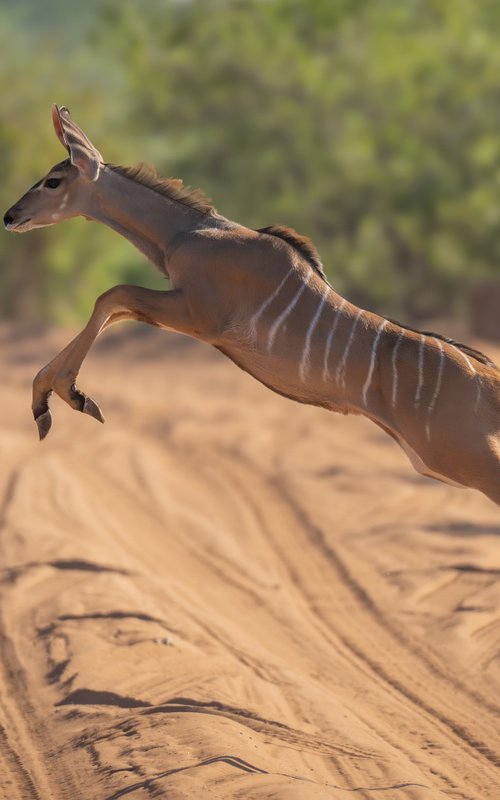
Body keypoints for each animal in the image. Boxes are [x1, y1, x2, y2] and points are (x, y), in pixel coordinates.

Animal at [3, 104, 500, 506]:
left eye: (53, 181)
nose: (10, 216)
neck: (188, 233)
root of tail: (489, 382)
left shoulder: (197, 316)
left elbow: (112, 296)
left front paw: (67, 397)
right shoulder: (177, 310)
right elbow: (113, 309)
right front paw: (48, 401)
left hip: (462, 457)